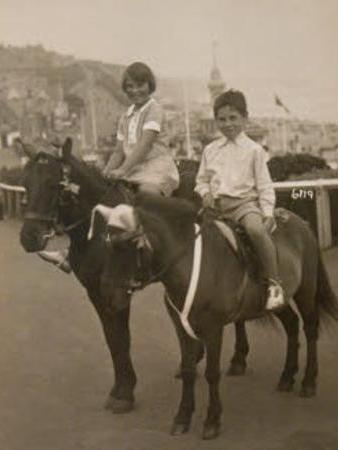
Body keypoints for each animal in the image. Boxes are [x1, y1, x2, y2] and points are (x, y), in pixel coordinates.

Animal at [97, 194, 338, 440]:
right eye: (106, 246)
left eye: (128, 246)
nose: (106, 297)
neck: (193, 264)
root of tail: (302, 223)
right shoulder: (180, 326)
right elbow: (188, 370)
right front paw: (182, 417)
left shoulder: (213, 329)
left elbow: (212, 373)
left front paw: (212, 420)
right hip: (280, 303)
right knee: (291, 325)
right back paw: (287, 377)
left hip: (306, 291)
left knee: (310, 329)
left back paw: (308, 382)